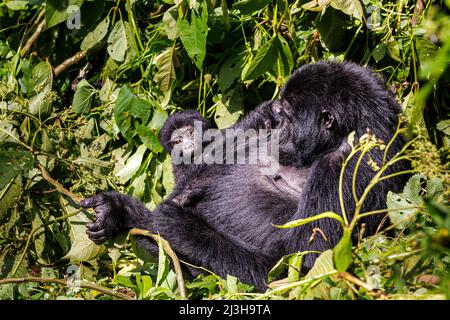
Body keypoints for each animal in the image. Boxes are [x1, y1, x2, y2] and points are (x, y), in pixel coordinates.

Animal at [80, 61, 408, 292]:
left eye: (289, 118)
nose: (275, 128)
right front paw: (120, 210)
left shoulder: (351, 166)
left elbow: (300, 268)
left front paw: (180, 225)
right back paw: (121, 213)